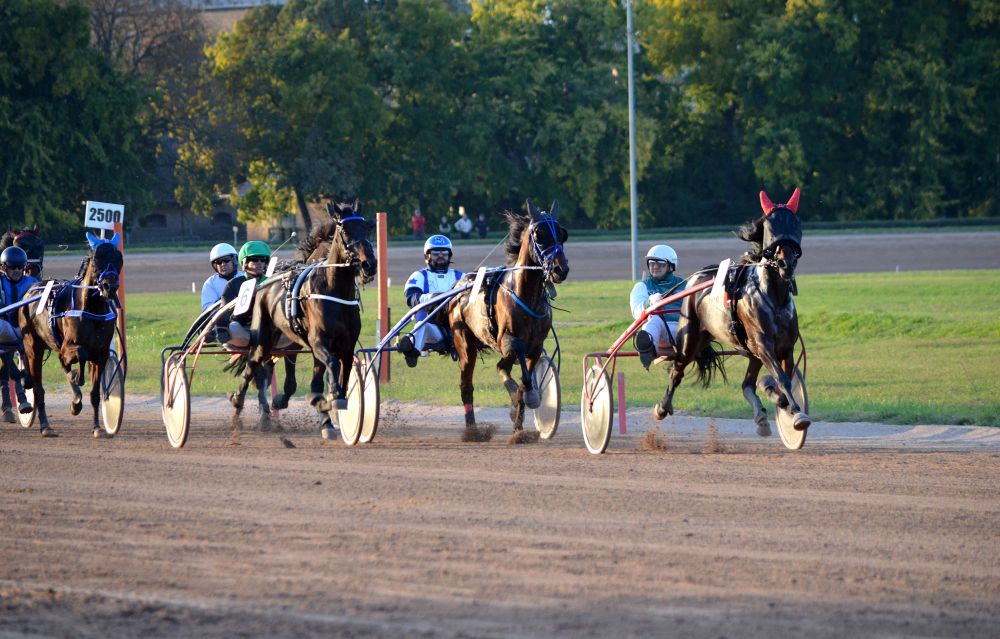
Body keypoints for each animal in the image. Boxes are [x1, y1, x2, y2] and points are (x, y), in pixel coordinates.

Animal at [19, 232, 124, 438]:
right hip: (32, 347)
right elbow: (80, 354)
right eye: (96, 258)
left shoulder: (100, 353)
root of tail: (30, 289)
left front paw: (97, 427)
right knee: (38, 388)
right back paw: (46, 426)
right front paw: (76, 380)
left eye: (119, 258)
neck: (92, 309)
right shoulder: (70, 345)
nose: (110, 286)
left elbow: (95, 394)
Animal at [229, 202, 376, 438]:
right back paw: (238, 403)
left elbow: (338, 378)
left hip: (292, 343)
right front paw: (329, 399)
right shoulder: (319, 341)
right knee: (252, 365)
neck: (334, 291)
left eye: (368, 228)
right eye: (345, 231)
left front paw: (329, 406)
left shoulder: (345, 346)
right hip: (263, 339)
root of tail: (263, 283)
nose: (368, 264)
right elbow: (332, 366)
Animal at [446, 200, 572, 436]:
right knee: (466, 385)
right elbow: (509, 369)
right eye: (539, 235)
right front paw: (517, 403)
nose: (561, 269)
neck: (526, 296)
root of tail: (458, 286)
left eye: (562, 234)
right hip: (465, 344)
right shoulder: (508, 342)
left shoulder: (535, 346)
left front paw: (519, 424)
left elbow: (526, 379)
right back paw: (472, 430)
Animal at [656, 186, 812, 436]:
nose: (785, 263)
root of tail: (698, 276)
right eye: (770, 226)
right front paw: (795, 413)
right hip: (690, 337)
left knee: (747, 384)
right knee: (677, 369)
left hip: (744, 348)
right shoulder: (762, 343)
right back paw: (662, 407)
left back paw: (762, 413)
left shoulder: (785, 346)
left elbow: (783, 378)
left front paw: (781, 400)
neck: (773, 297)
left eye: (796, 224)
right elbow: (782, 379)